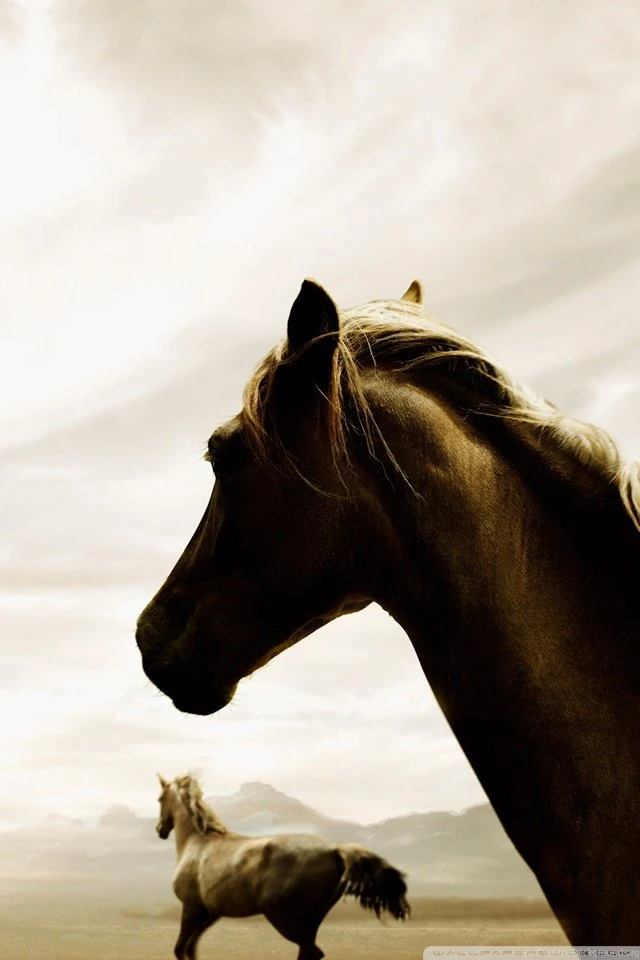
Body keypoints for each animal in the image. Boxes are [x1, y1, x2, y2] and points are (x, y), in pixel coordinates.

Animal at [155, 773, 409, 960]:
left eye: (159, 799)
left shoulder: (191, 908)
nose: (160, 830)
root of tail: (335, 851)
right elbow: (190, 949)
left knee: (312, 952)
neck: (197, 842)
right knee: (310, 952)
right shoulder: (210, 913)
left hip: (283, 917)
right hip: (310, 921)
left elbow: (180, 949)